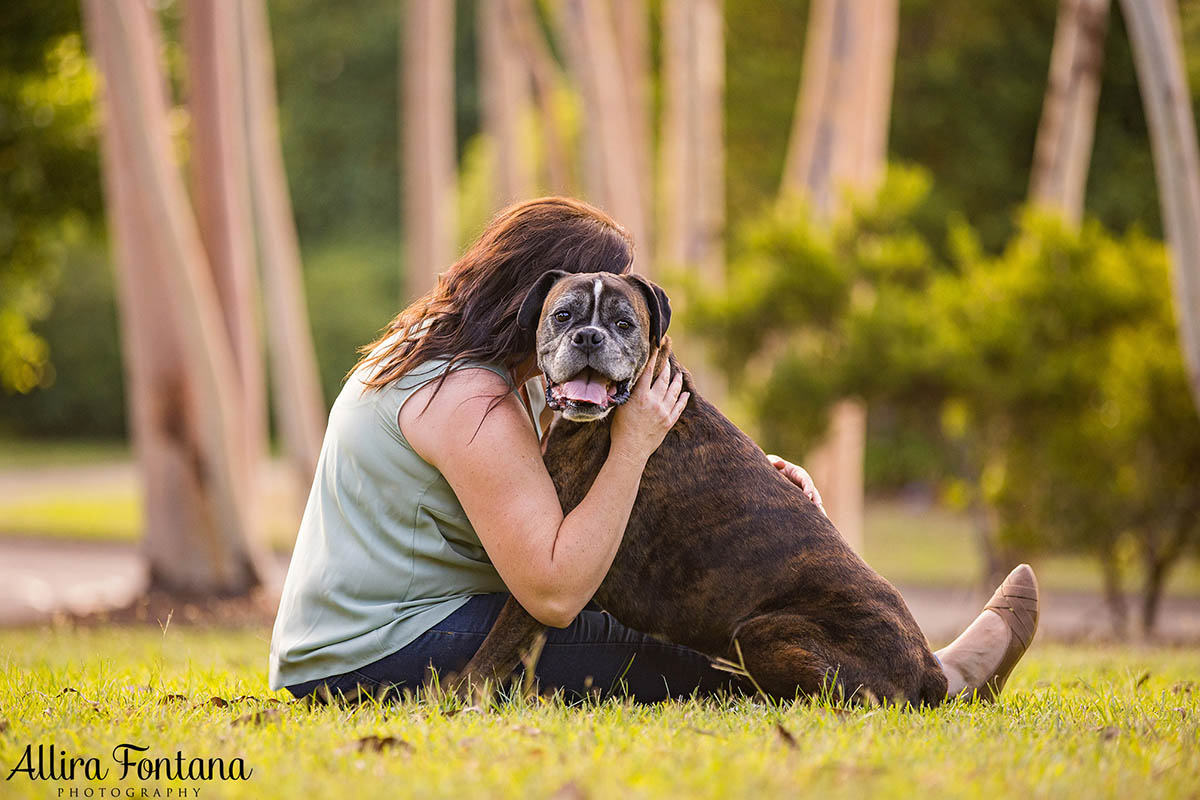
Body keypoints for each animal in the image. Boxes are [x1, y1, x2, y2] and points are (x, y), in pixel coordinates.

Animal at [456, 271, 945, 705]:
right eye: (563, 315)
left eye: (623, 324)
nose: (590, 337)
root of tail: (930, 666)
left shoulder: (549, 580)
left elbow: (490, 654)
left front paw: (452, 701)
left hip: (758, 633)